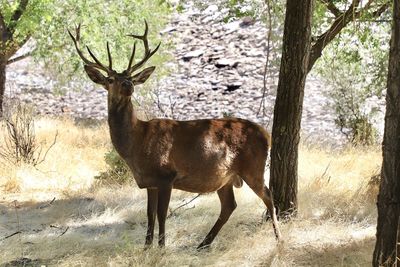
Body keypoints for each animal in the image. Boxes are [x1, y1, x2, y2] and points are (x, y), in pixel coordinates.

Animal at [69, 21, 282, 251]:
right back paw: (203, 244)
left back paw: (278, 238)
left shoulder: (167, 175)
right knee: (229, 205)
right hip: (225, 177)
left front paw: (161, 247)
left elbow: (162, 214)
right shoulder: (150, 182)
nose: (128, 84)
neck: (137, 144)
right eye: (110, 79)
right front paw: (146, 247)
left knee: (268, 197)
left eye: (131, 77)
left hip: (253, 167)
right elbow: (150, 215)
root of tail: (266, 134)